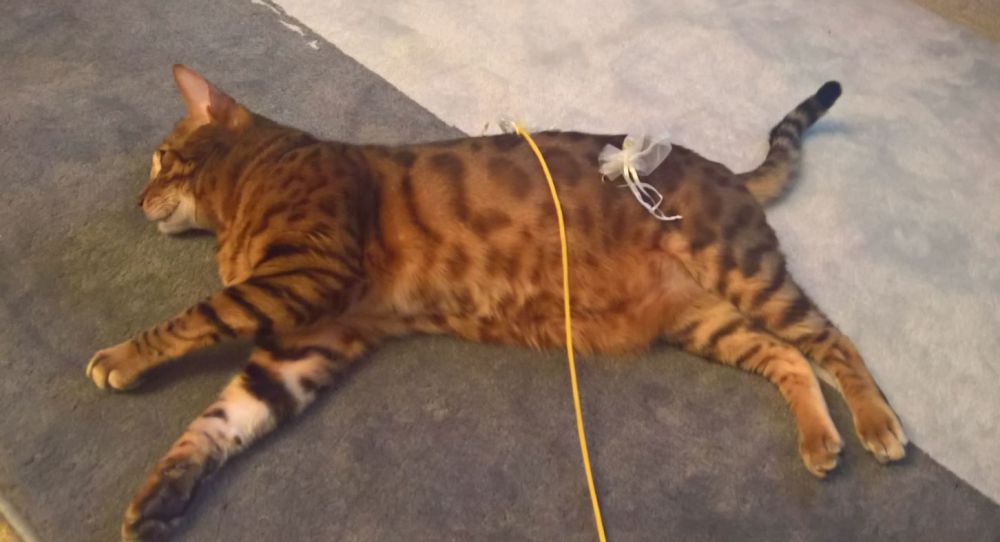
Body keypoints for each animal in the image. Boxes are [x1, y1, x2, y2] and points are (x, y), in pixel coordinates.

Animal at [86, 65, 907, 541]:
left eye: (161, 157)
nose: (134, 201)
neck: (251, 180)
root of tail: (730, 172)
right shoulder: (311, 336)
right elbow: (221, 420)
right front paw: (162, 493)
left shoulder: (305, 274)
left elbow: (194, 319)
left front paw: (120, 356)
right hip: (703, 319)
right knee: (787, 356)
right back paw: (819, 437)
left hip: (741, 269)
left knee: (833, 342)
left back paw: (876, 424)